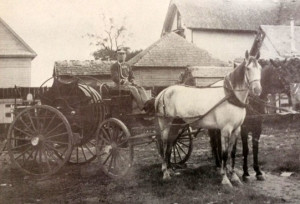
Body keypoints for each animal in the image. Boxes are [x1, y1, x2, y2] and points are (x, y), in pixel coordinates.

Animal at [156, 51, 262, 188]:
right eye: (248, 69)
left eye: (260, 68)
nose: (257, 90)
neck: (230, 96)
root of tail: (163, 92)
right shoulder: (225, 130)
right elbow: (224, 154)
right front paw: (225, 179)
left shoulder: (236, 129)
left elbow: (232, 153)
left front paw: (234, 176)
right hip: (166, 124)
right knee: (164, 145)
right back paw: (165, 173)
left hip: (176, 125)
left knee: (170, 144)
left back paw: (170, 170)